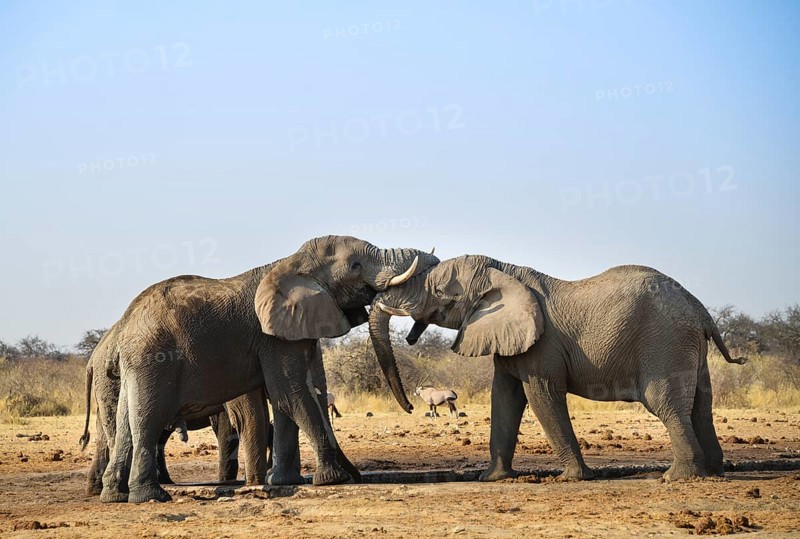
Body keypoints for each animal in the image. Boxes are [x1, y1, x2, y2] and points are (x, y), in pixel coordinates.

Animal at [97, 235, 438, 503]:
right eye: (355, 266)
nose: (410, 408)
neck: (292, 263)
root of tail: (124, 326)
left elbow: (286, 399)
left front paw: (287, 482)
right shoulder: (271, 338)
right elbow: (290, 393)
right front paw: (332, 479)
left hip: (136, 365)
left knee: (125, 422)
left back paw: (115, 496)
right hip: (152, 358)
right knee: (147, 419)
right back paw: (151, 497)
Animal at [368, 255, 747, 482]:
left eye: (440, 291)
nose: (412, 406)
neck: (502, 269)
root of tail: (700, 309)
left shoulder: (543, 346)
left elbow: (542, 396)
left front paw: (572, 478)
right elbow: (504, 398)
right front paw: (492, 479)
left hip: (665, 342)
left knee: (666, 404)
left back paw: (676, 477)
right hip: (688, 346)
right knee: (701, 406)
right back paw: (714, 471)